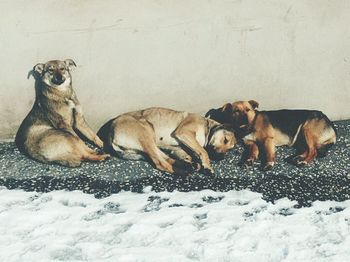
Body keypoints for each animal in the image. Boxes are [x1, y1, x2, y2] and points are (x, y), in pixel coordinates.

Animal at [97, 107, 237, 175]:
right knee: (160, 163)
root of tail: (110, 133)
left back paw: (187, 166)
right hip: (146, 131)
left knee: (164, 158)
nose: (221, 158)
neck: (207, 126)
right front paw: (207, 166)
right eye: (225, 140)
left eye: (230, 149)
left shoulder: (177, 147)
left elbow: (186, 153)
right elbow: (203, 151)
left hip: (151, 141)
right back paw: (183, 172)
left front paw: (190, 160)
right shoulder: (184, 133)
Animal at [205, 100, 336, 170]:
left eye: (248, 110)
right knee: (308, 149)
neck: (250, 125)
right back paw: (298, 157)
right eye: (236, 111)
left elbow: (268, 152)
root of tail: (329, 122)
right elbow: (253, 151)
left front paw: (269, 163)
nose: (244, 119)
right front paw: (250, 159)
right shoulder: (250, 143)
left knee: (313, 151)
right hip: (300, 136)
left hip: (306, 130)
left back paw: (304, 161)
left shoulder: (268, 140)